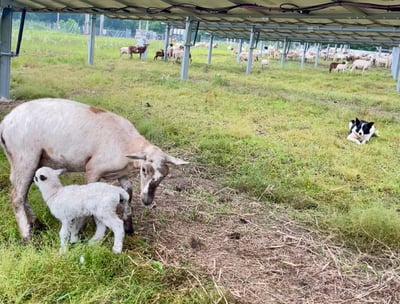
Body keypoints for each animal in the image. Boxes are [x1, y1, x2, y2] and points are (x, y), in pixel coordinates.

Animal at [0, 98, 188, 243]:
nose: (148, 201)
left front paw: (129, 226)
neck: (128, 144)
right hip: (25, 156)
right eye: (144, 170)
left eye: (165, 175)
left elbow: (128, 193)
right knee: (17, 197)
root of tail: (5, 122)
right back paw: (27, 236)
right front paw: (85, 229)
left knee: (22, 192)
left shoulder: (121, 173)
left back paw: (36, 223)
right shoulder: (93, 169)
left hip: (23, 160)